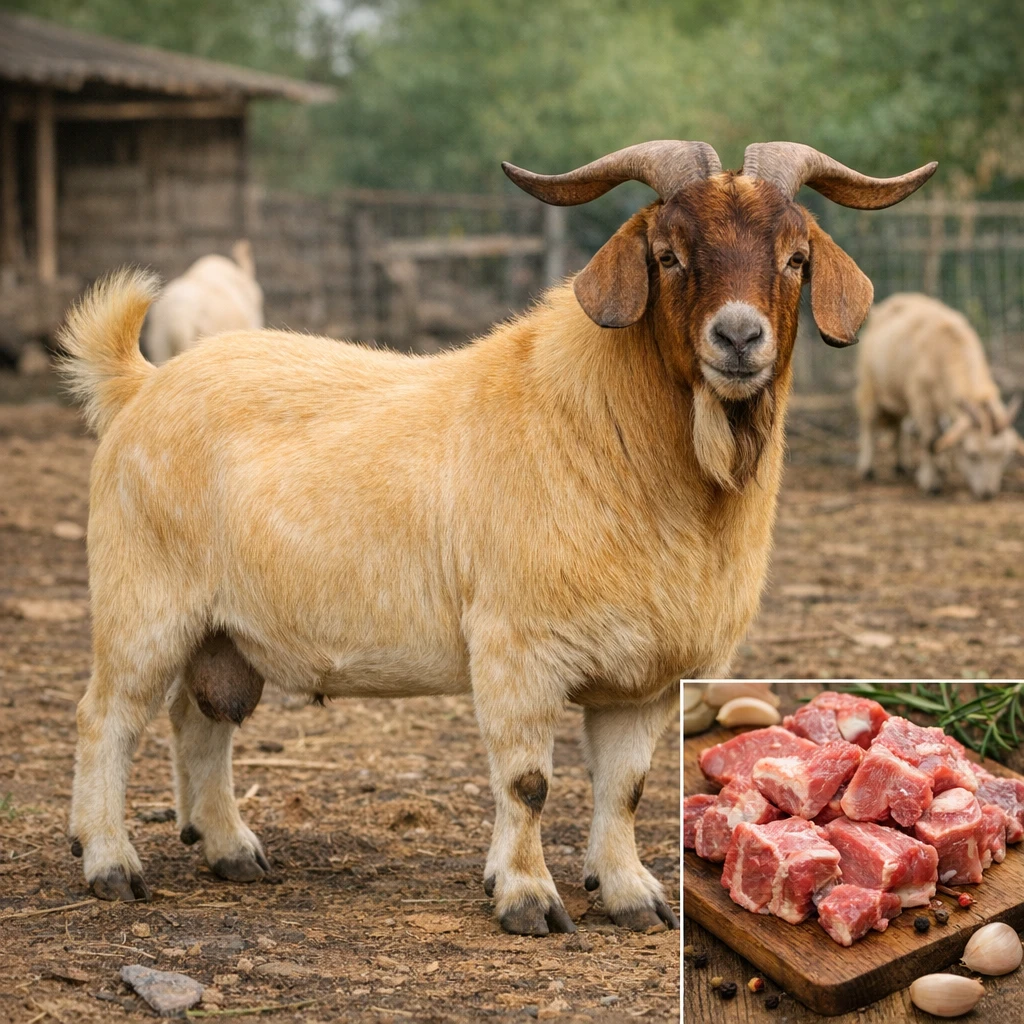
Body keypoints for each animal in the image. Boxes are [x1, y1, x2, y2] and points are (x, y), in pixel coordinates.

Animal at [60, 141, 935, 935]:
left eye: (794, 258)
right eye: (668, 254)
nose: (739, 338)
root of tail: (140, 383)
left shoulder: (649, 678)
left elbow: (626, 789)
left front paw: (630, 896)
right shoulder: (518, 649)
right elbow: (528, 784)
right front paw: (527, 899)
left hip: (222, 632)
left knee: (199, 720)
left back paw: (231, 849)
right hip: (145, 607)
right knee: (108, 718)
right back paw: (109, 864)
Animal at [857, 292, 1023, 498]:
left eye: (1004, 457)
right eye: (972, 454)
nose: (987, 494)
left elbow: (940, 438)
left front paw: (940, 471)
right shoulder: (922, 400)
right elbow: (930, 440)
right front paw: (931, 483)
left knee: (899, 424)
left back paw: (901, 466)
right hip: (869, 382)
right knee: (869, 422)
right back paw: (867, 469)